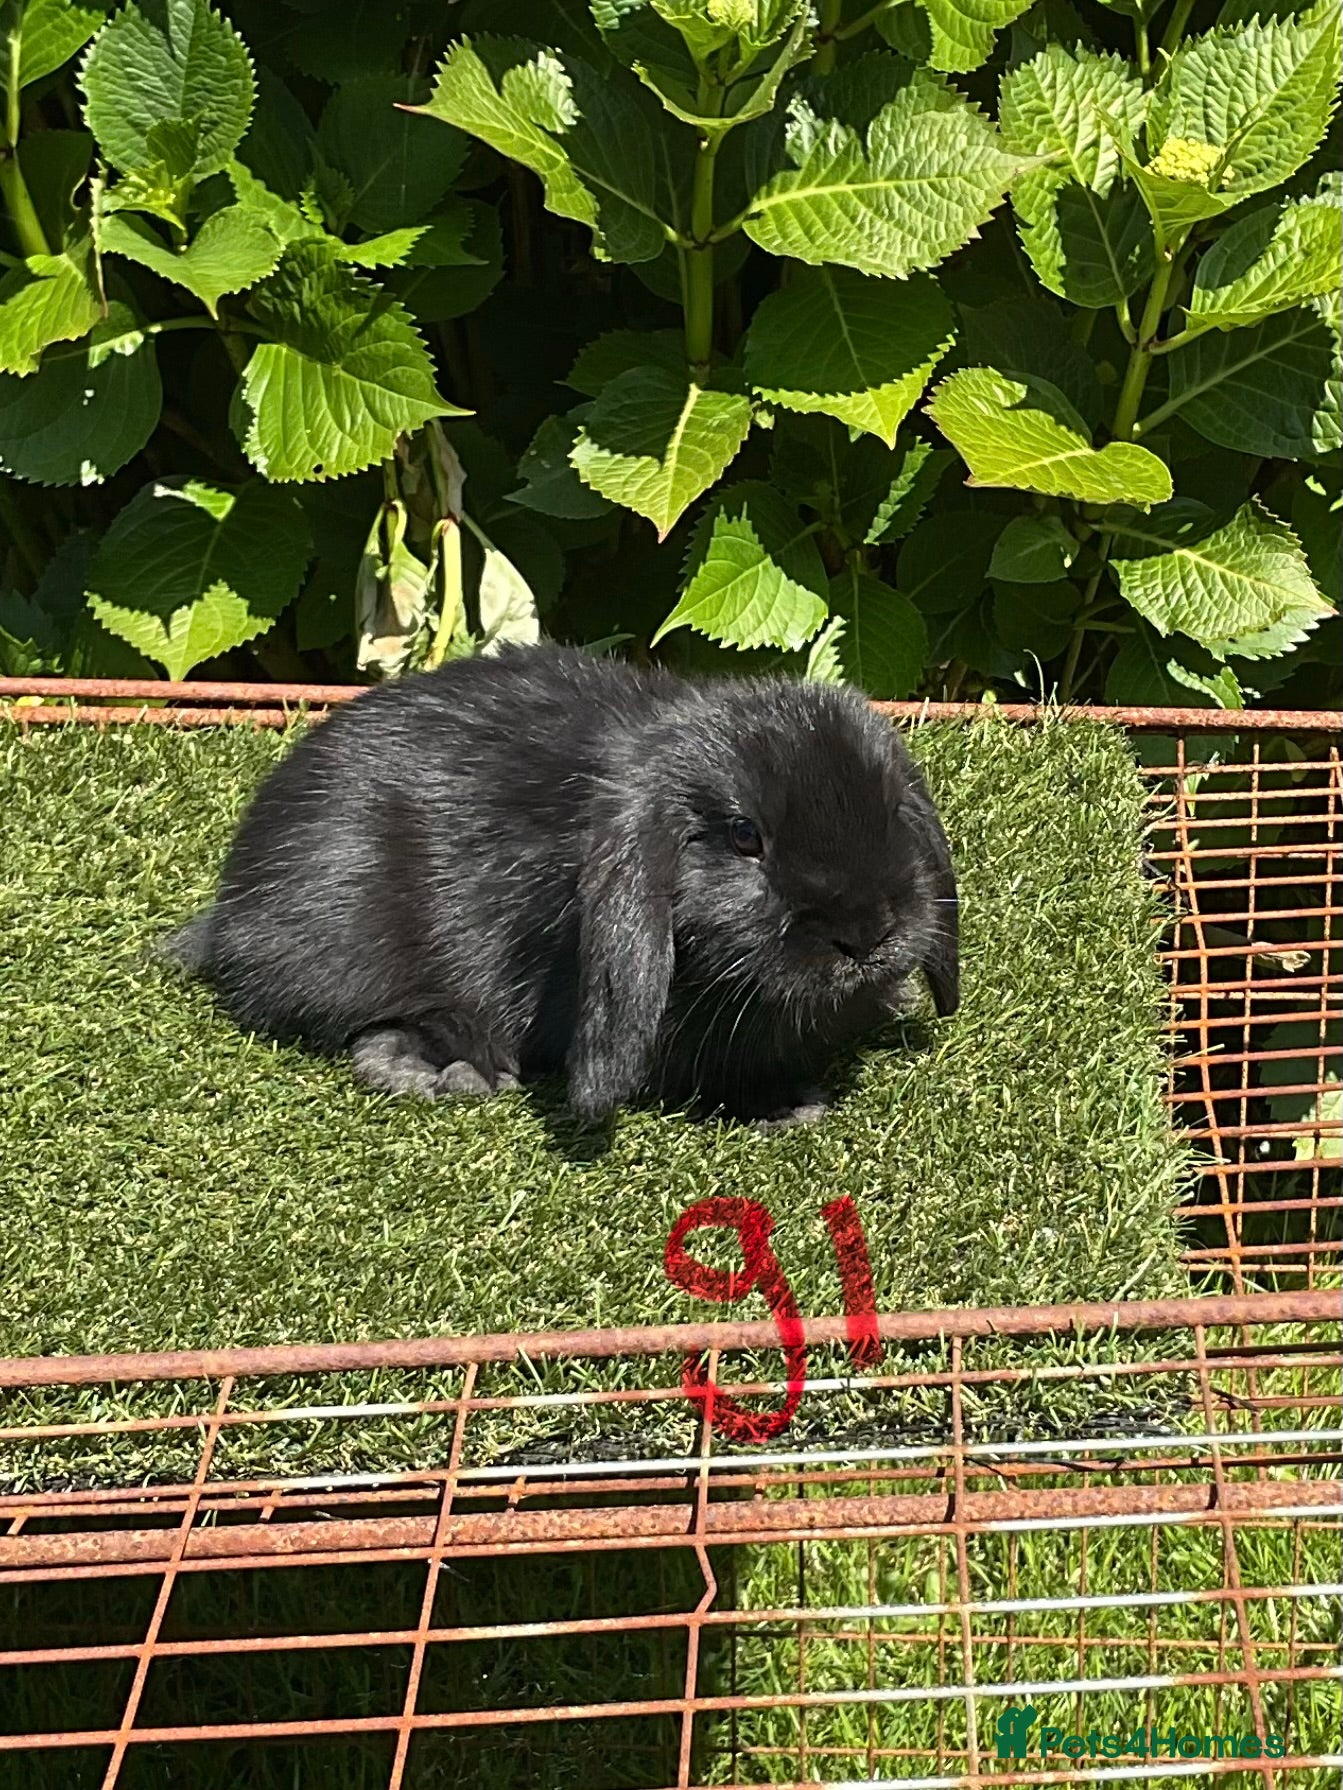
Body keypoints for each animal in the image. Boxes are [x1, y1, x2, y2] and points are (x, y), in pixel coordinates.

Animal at [166, 644, 959, 1125]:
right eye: (743, 837)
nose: (868, 935)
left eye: (893, 807)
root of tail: (232, 910)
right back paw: (449, 1072)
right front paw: (788, 1104)